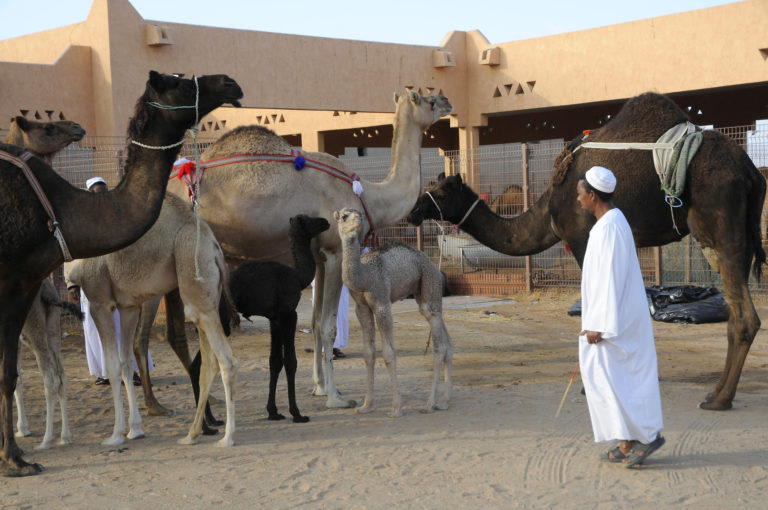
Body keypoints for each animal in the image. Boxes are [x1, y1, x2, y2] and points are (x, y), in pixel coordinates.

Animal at [66, 192, 239, 447]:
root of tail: (215, 248)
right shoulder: (127, 306)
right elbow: (126, 363)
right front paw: (135, 430)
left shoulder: (100, 302)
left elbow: (113, 366)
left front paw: (116, 435)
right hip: (207, 295)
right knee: (209, 363)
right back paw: (192, 434)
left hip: (192, 272)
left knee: (227, 361)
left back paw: (227, 437)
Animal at [219, 214, 330, 423]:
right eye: (308, 219)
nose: (325, 221)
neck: (298, 277)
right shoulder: (289, 313)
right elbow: (291, 361)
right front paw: (297, 413)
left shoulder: (275, 318)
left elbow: (275, 361)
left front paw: (273, 412)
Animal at [335, 208, 453, 416]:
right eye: (343, 216)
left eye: (361, 215)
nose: (357, 220)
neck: (364, 277)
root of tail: (431, 263)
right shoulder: (361, 309)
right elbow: (368, 354)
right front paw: (366, 405)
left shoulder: (382, 303)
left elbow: (389, 354)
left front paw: (396, 407)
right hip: (422, 293)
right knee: (446, 338)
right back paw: (445, 401)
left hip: (430, 281)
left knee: (439, 343)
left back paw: (430, 403)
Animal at [408, 92, 765, 411]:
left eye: (439, 191)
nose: (413, 209)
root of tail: (751, 172)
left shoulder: (583, 238)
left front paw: (590, 385)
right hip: (738, 235)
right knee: (736, 313)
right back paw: (716, 392)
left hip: (720, 227)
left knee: (745, 316)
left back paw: (720, 399)